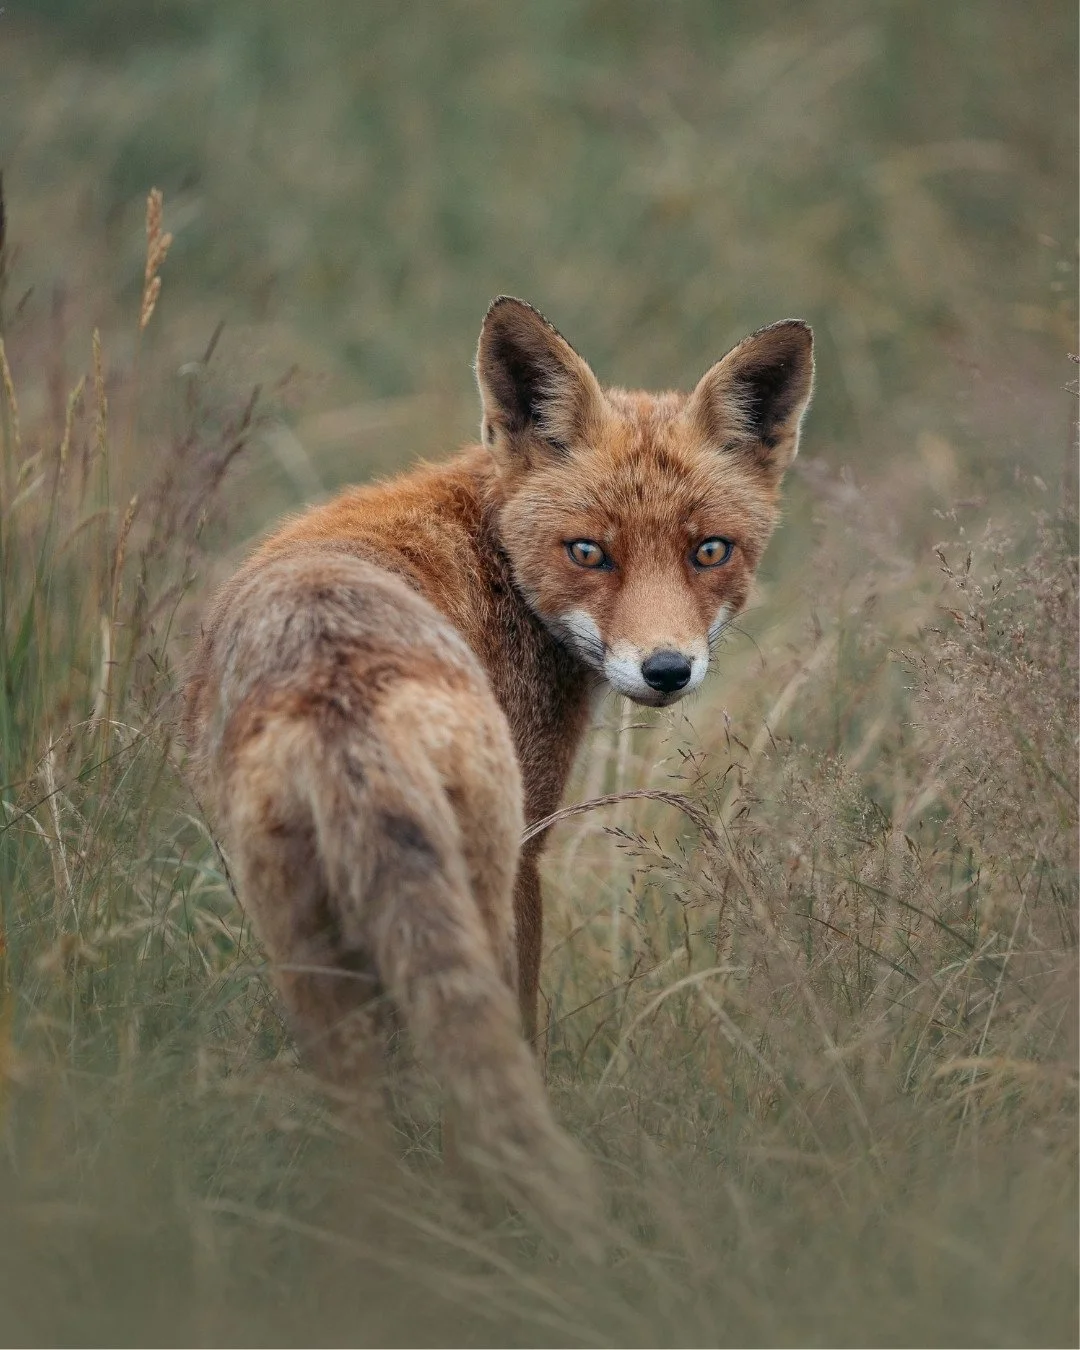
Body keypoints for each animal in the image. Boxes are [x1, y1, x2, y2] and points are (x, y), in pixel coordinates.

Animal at [184, 296, 813, 1242]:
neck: (492, 549)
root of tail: (340, 688)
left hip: (303, 943)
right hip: (466, 894)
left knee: (363, 1136)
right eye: (588, 552)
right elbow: (524, 1032)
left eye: (710, 550)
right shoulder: (529, 852)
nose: (666, 670)